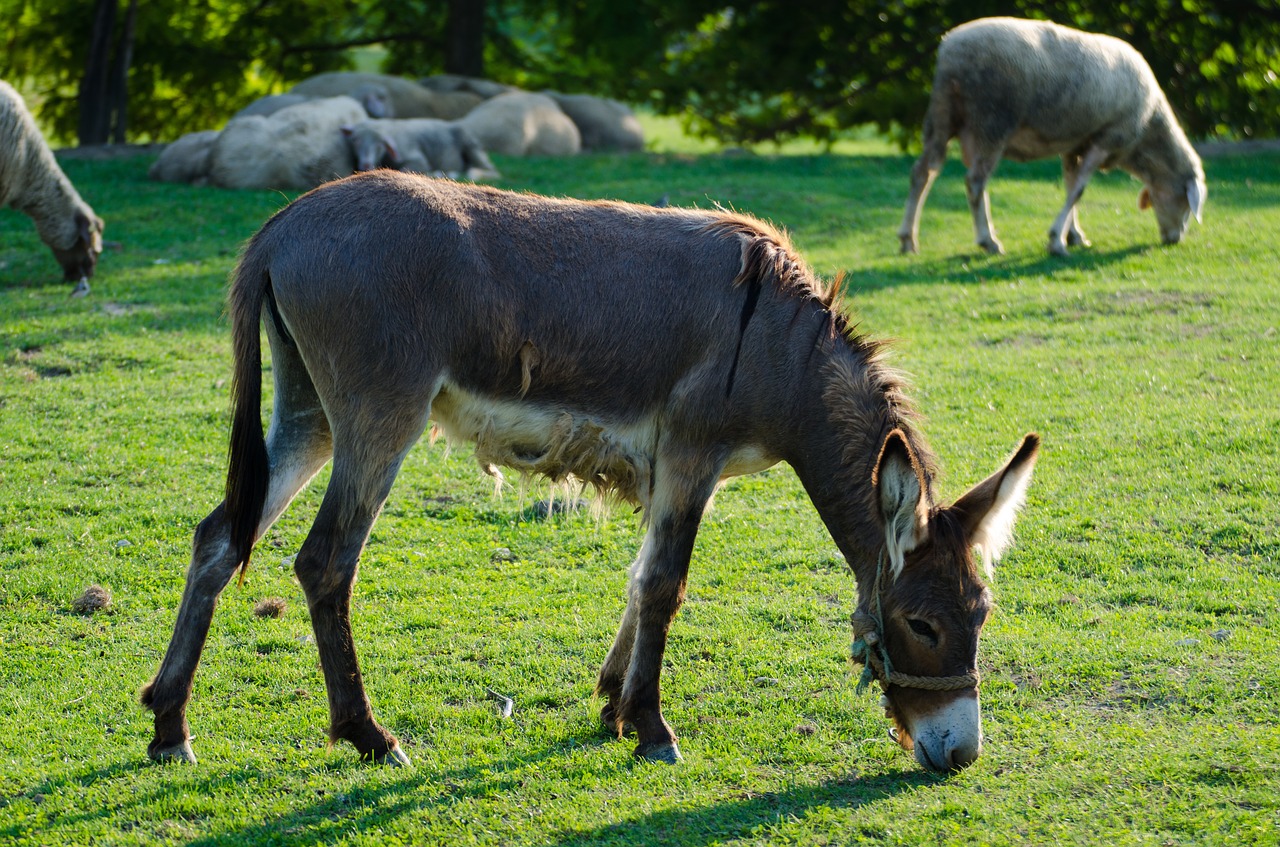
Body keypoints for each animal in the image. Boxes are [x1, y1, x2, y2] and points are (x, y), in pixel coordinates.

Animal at [340, 118, 499, 181]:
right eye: (355, 140)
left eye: (380, 144)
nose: (366, 164)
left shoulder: (417, 158)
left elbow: (404, 170)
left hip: (471, 144)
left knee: (493, 172)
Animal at [896, 16, 1203, 255]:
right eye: (1187, 204)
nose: (1174, 240)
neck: (1147, 130)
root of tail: (950, 48)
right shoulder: (1107, 138)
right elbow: (1078, 189)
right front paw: (1057, 241)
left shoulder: (1075, 144)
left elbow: (1070, 185)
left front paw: (1074, 235)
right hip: (992, 122)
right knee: (974, 181)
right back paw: (988, 241)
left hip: (942, 115)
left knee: (923, 172)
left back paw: (908, 240)